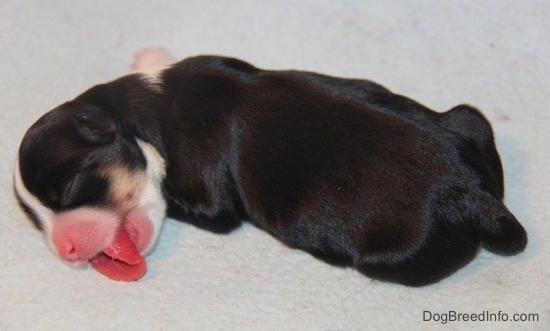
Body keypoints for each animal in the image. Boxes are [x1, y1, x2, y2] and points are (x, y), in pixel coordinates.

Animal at [15, 54, 528, 286]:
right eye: (35, 219)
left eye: (70, 189)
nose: (65, 251)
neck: (139, 107)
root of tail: (476, 196)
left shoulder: (208, 195)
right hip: (470, 120)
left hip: (396, 254)